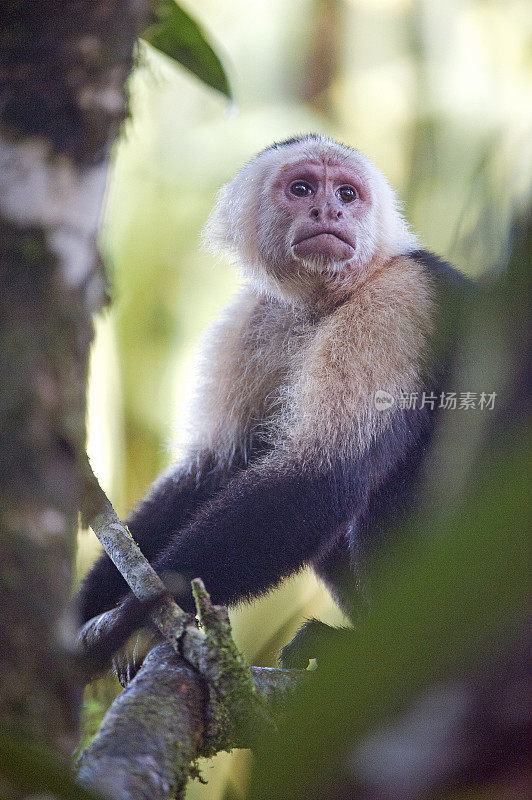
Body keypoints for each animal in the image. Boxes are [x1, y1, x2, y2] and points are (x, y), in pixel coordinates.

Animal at [78, 134, 470, 672]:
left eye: (347, 194)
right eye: (301, 188)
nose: (329, 210)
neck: (328, 300)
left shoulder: (398, 301)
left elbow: (317, 478)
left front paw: (134, 621)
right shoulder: (255, 319)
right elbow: (217, 467)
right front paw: (87, 606)